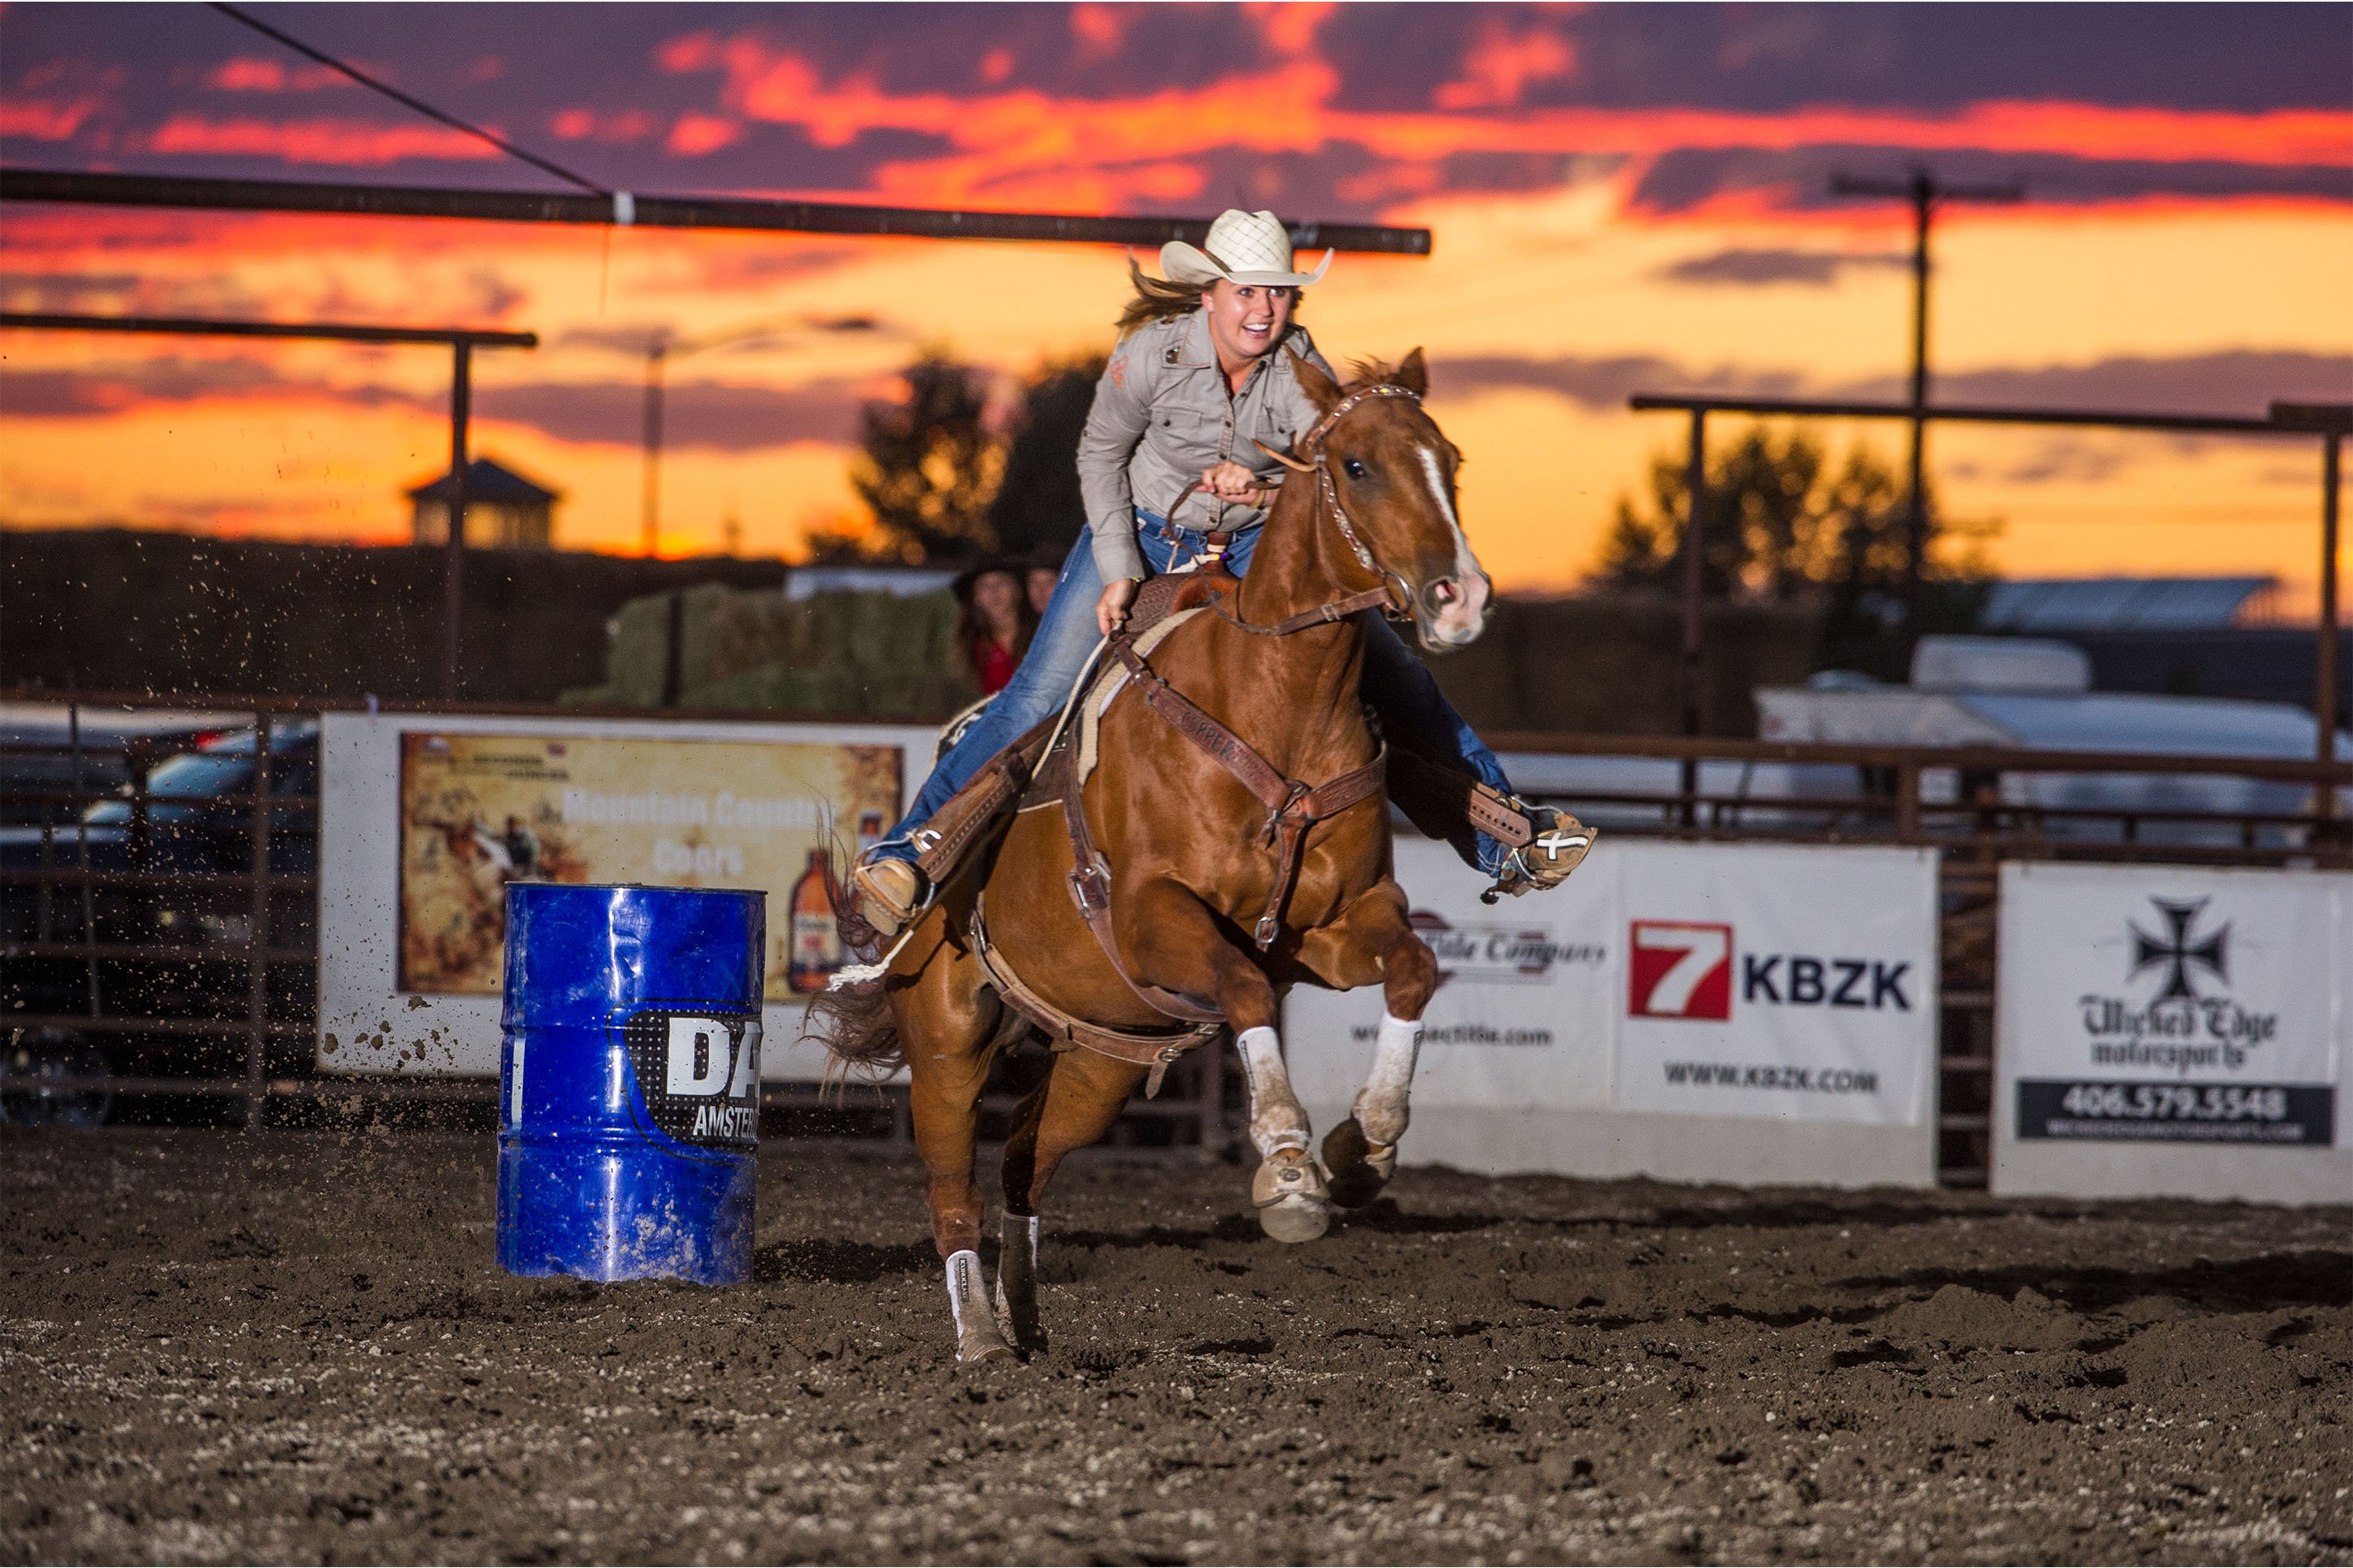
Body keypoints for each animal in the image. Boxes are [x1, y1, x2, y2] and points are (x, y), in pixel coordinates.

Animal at [828, 352, 1487, 1363]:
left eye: (1448, 460)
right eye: (1357, 467)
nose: (1460, 598)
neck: (1273, 710)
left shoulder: (1333, 928)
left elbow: (1412, 969)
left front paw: (1363, 1146)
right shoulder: (1155, 922)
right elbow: (1246, 992)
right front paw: (1288, 1169)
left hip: (1102, 1059)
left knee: (1024, 1157)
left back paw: (1024, 1319)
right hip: (945, 1038)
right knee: (952, 1184)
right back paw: (978, 1335)